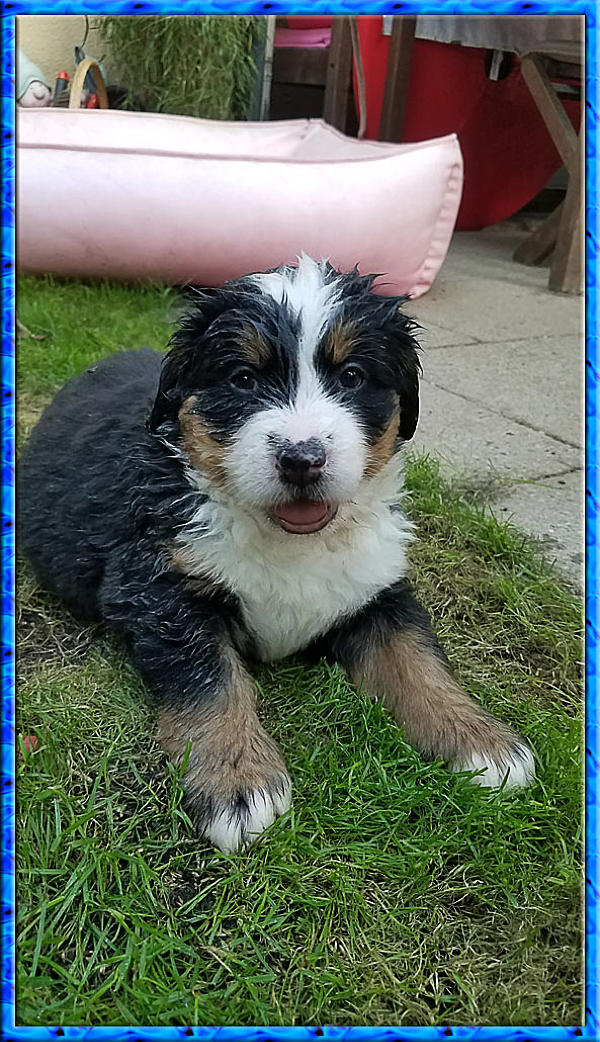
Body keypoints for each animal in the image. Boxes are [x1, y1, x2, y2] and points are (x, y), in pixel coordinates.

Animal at [18, 256, 535, 852]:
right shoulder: (162, 588)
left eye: (352, 376)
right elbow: (211, 683)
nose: (302, 459)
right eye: (244, 379)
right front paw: (238, 783)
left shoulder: (377, 585)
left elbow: (417, 660)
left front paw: (480, 739)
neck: (290, 540)